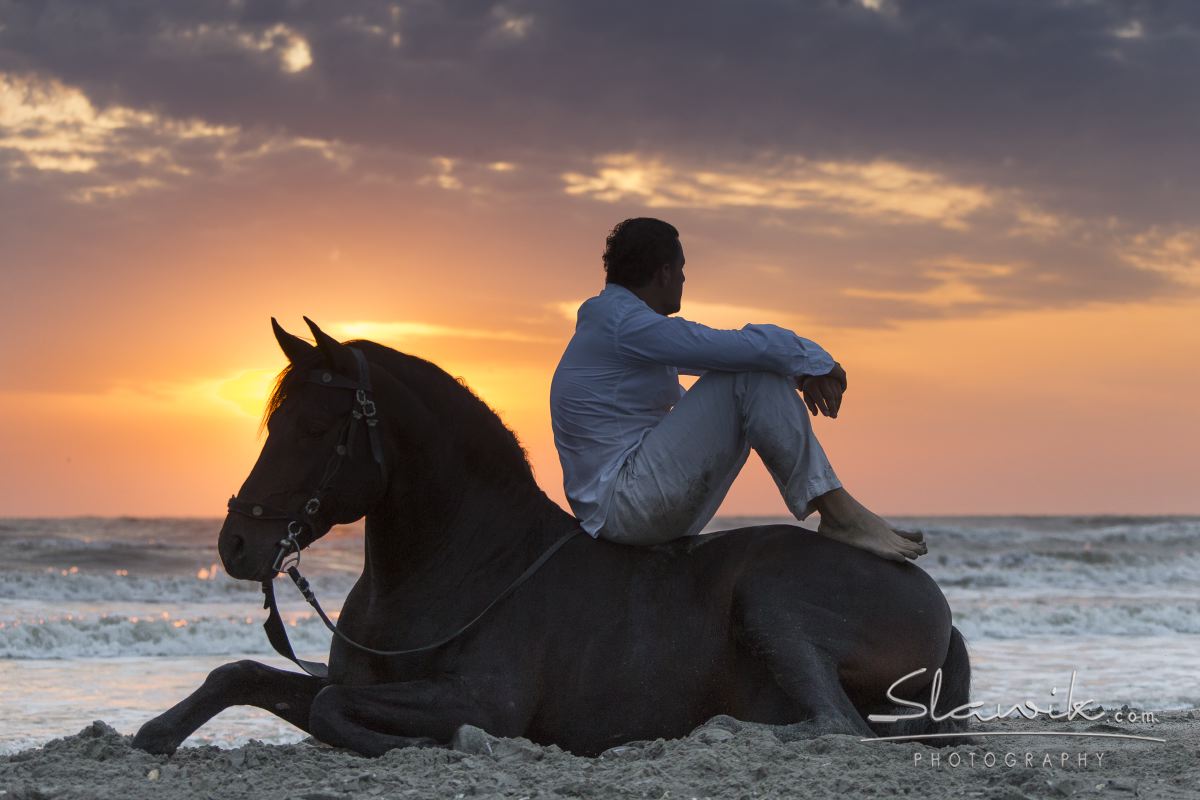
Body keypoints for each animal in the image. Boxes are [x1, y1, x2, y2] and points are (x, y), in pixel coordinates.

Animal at [131, 316, 969, 758]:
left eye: (311, 427)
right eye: (271, 423)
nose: (236, 545)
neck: (460, 564)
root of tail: (936, 601)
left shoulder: (483, 697)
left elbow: (338, 711)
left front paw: (456, 744)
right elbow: (241, 674)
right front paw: (156, 733)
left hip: (771, 603)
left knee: (841, 727)